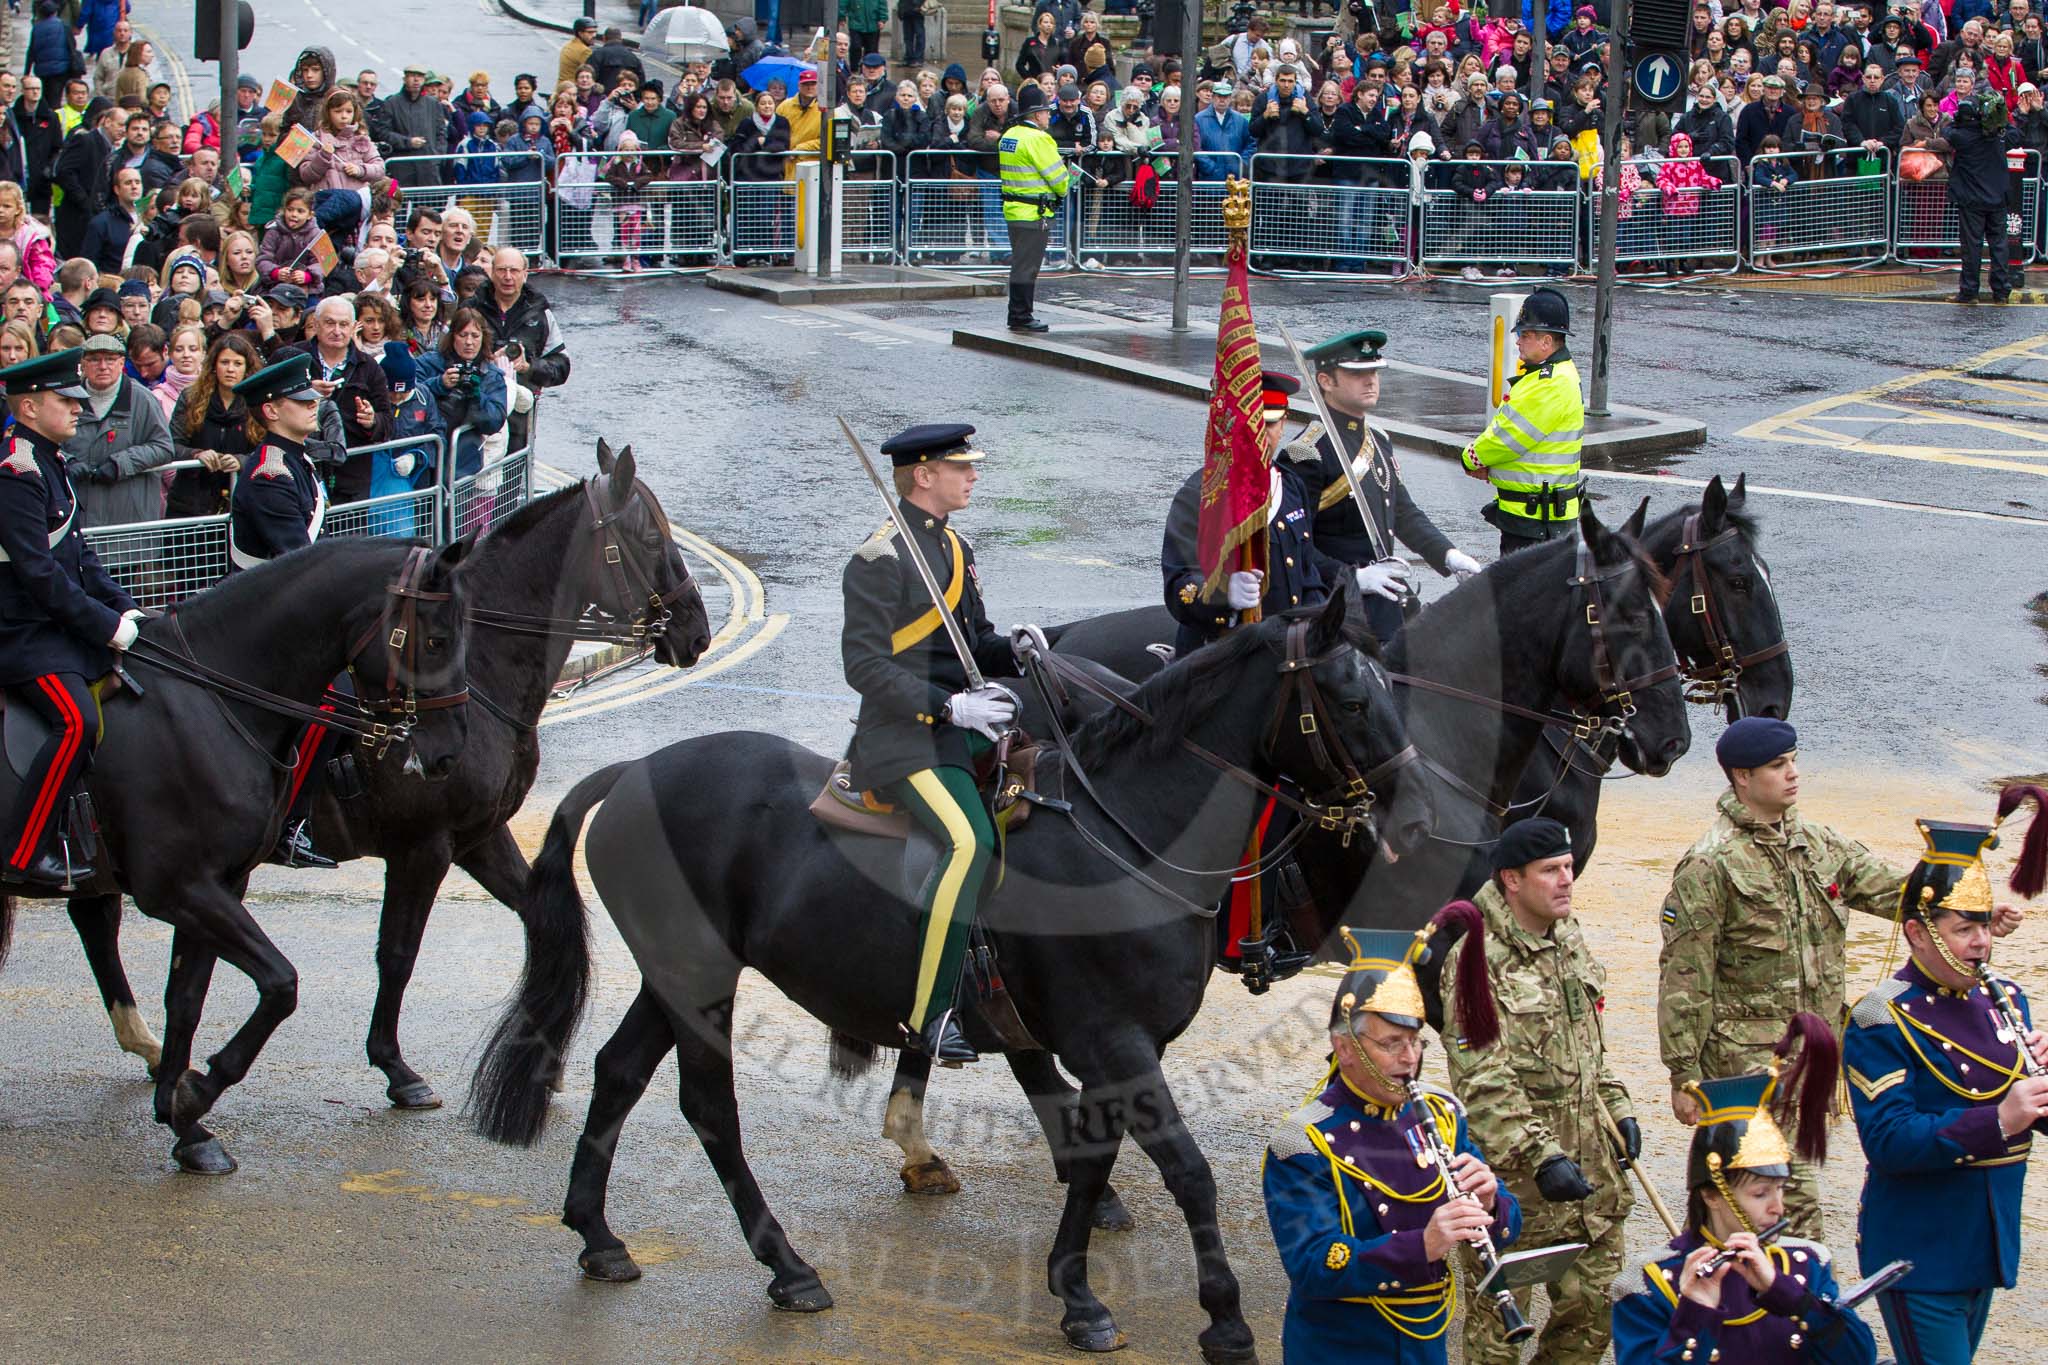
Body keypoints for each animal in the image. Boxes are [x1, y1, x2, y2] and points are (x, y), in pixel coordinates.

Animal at [2, 532, 471, 1178]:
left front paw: (184, 1123)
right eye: (436, 640)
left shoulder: (220, 884)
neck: (209, 699)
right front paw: (197, 1092)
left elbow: (186, 1000)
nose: (449, 755)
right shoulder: (180, 889)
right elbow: (280, 983)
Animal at [48, 444, 712, 1105]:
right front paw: (395, 1066)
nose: (695, 631)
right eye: (651, 539)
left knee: (95, 917)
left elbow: (542, 920)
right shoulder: (424, 846)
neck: (479, 669)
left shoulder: (478, 837)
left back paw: (145, 1043)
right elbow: (398, 954)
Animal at [468, 593, 1425, 1365]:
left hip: (675, 979)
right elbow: (1185, 1169)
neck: (1124, 834)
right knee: (708, 1108)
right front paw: (1223, 1319)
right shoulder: (1112, 1040)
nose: (1415, 813)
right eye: (1348, 696)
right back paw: (788, 1265)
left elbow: (1090, 1157)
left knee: (619, 1072)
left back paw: (598, 1234)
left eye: (1391, 683)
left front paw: (1075, 1294)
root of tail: (635, 771)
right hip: (700, 979)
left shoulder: (1106, 1046)